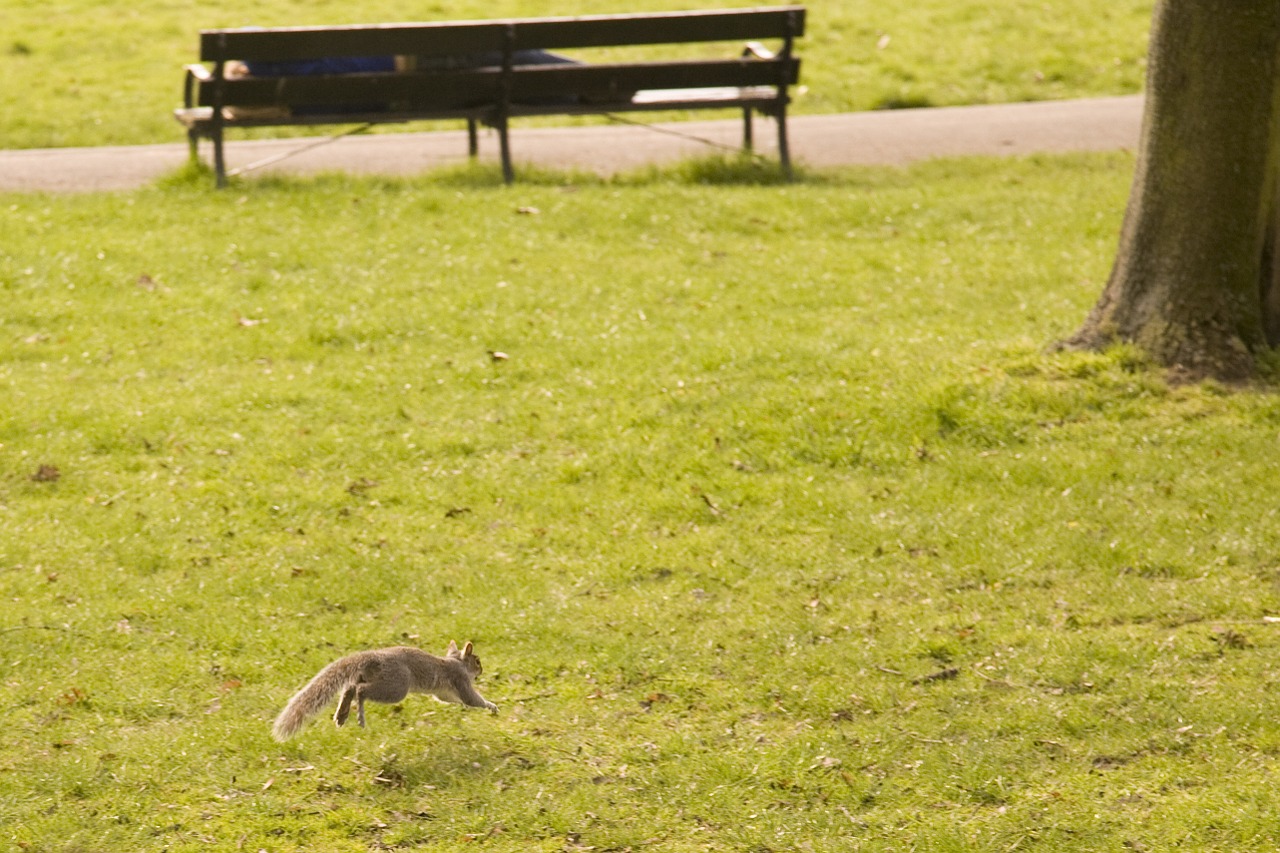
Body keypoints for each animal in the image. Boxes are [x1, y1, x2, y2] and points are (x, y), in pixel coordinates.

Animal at [272, 637, 496, 737]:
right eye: (477, 661)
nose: (482, 670)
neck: (456, 661)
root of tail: (374, 658)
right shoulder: (460, 679)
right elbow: (471, 699)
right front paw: (491, 706)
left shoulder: (445, 692)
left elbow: (450, 699)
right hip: (396, 686)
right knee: (360, 690)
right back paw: (359, 717)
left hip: (371, 676)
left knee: (350, 687)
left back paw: (342, 713)